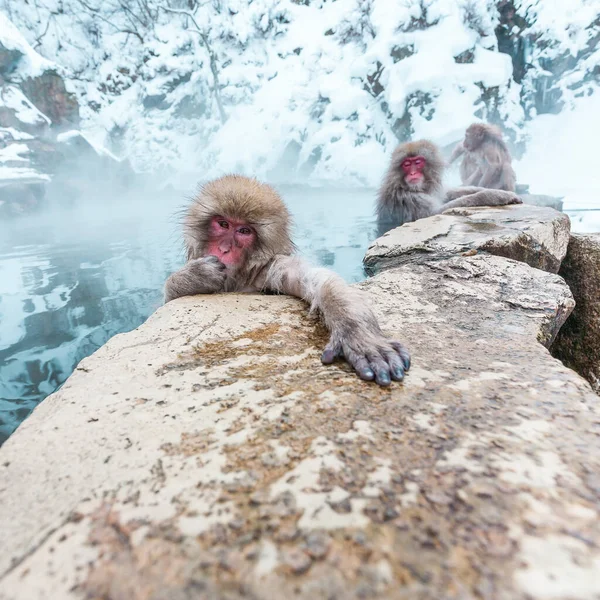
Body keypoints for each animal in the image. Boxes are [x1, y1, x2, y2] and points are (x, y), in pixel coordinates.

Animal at [165, 176, 412, 386]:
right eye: (223, 224)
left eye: (244, 231)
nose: (224, 249)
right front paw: (191, 277)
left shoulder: (270, 270)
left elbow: (318, 281)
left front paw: (357, 333)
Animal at [376, 139, 520, 236]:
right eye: (406, 164)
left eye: (417, 162)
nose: (412, 173)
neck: (411, 187)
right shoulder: (409, 199)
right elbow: (433, 214)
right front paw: (495, 196)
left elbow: (447, 194)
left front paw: (488, 190)